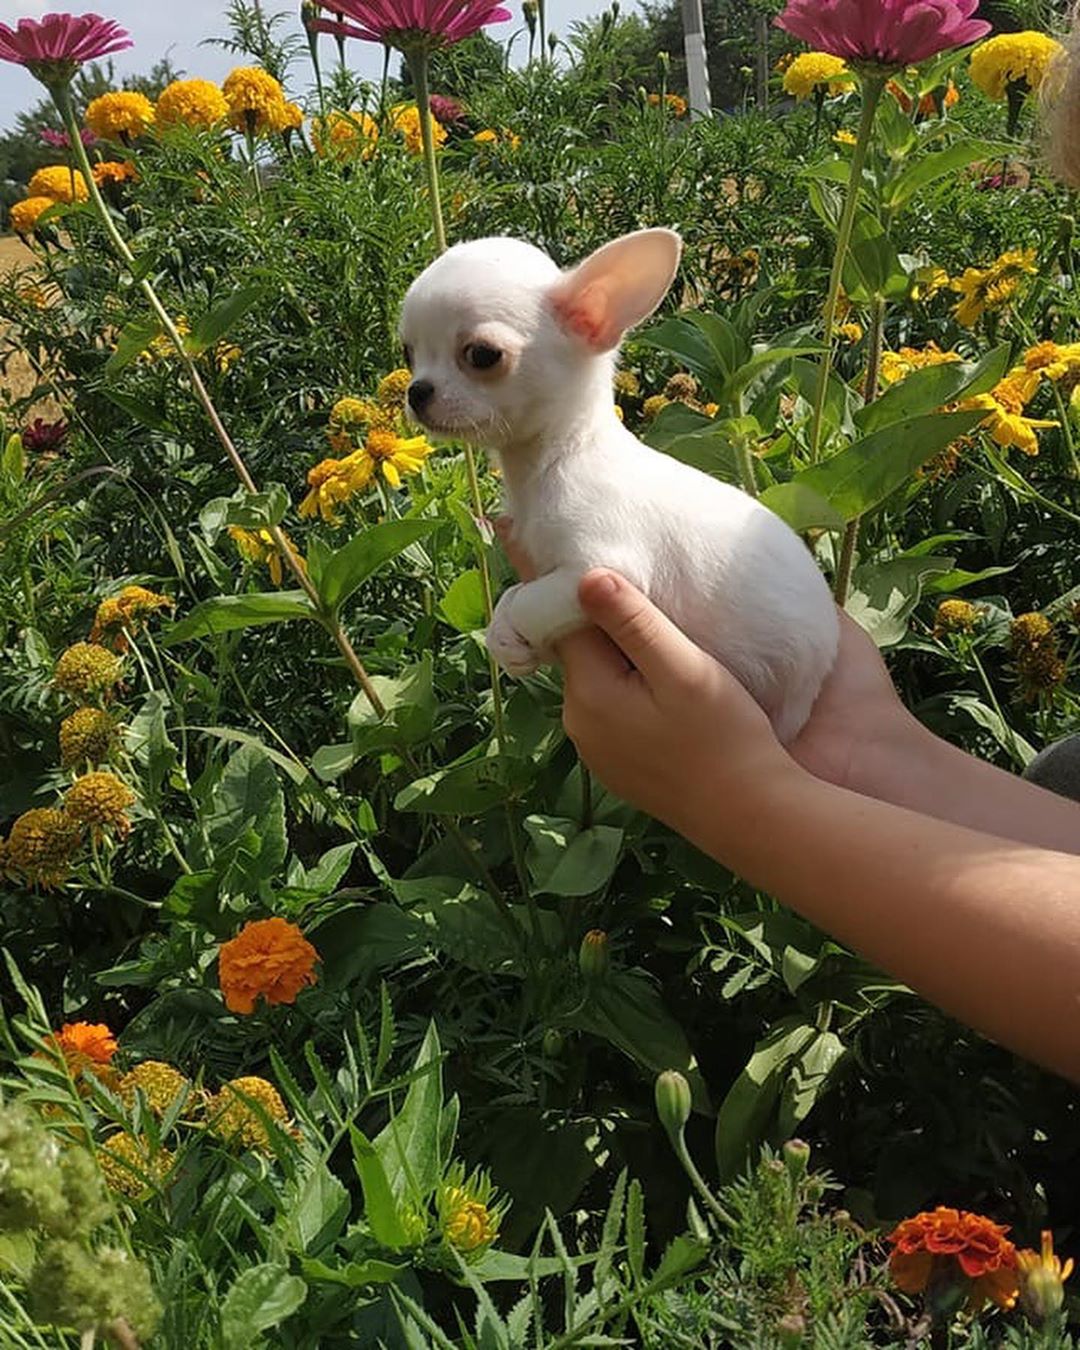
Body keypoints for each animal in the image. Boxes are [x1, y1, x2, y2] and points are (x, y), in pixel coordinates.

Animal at [399, 226, 837, 745]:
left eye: (482, 356)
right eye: (407, 353)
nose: (415, 391)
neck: (557, 460)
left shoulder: (601, 570)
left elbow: (531, 600)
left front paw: (513, 623)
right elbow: (515, 599)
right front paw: (504, 638)